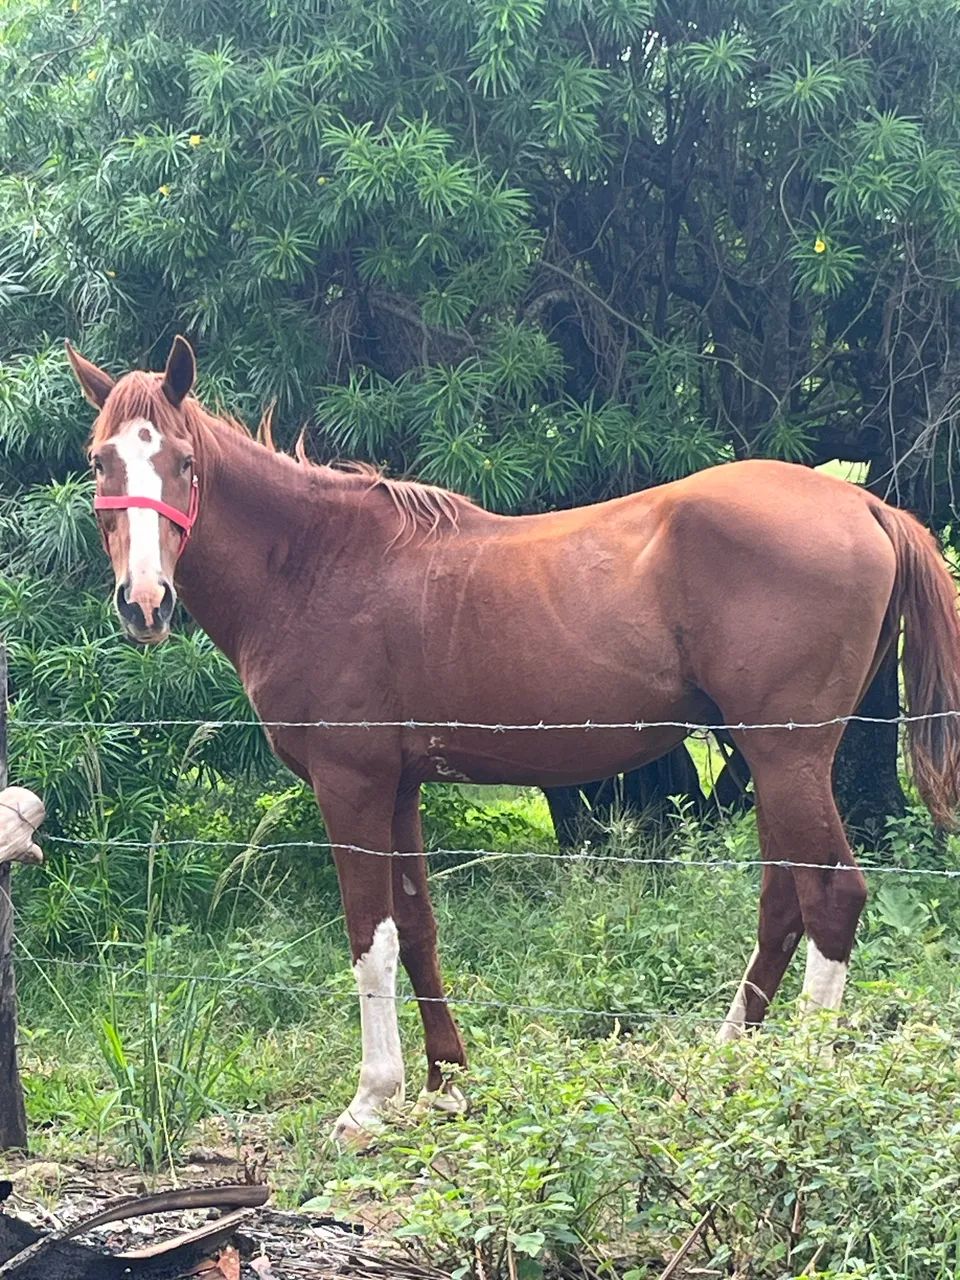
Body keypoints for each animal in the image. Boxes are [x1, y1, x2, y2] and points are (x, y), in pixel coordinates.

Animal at [66, 336, 960, 1143]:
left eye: (183, 462)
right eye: (100, 463)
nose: (143, 603)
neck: (317, 563)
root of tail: (865, 505)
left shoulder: (350, 782)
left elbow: (369, 938)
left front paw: (372, 1101)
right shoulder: (399, 784)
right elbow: (417, 926)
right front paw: (445, 1085)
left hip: (789, 755)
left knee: (832, 896)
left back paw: (799, 1079)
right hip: (770, 760)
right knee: (783, 902)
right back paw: (729, 1059)